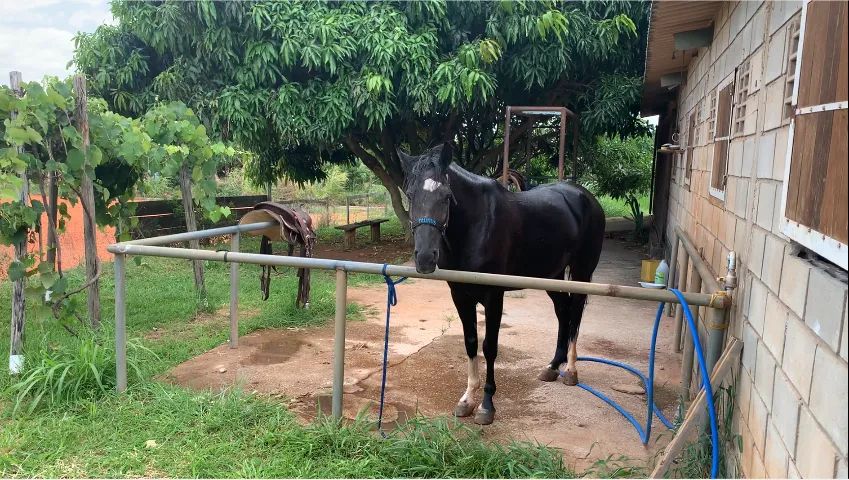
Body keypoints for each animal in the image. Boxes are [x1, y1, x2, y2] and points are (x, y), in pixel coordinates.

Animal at [398, 142, 605, 425]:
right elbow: (471, 342)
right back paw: (552, 367)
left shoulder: (493, 296)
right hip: (551, 275)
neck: (477, 225)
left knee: (574, 315)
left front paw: (487, 406)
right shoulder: (460, 295)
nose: (426, 258)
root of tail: (586, 197)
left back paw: (571, 371)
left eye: (447, 196)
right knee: (563, 312)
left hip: (582, 273)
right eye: (410, 194)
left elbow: (490, 347)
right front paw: (467, 400)